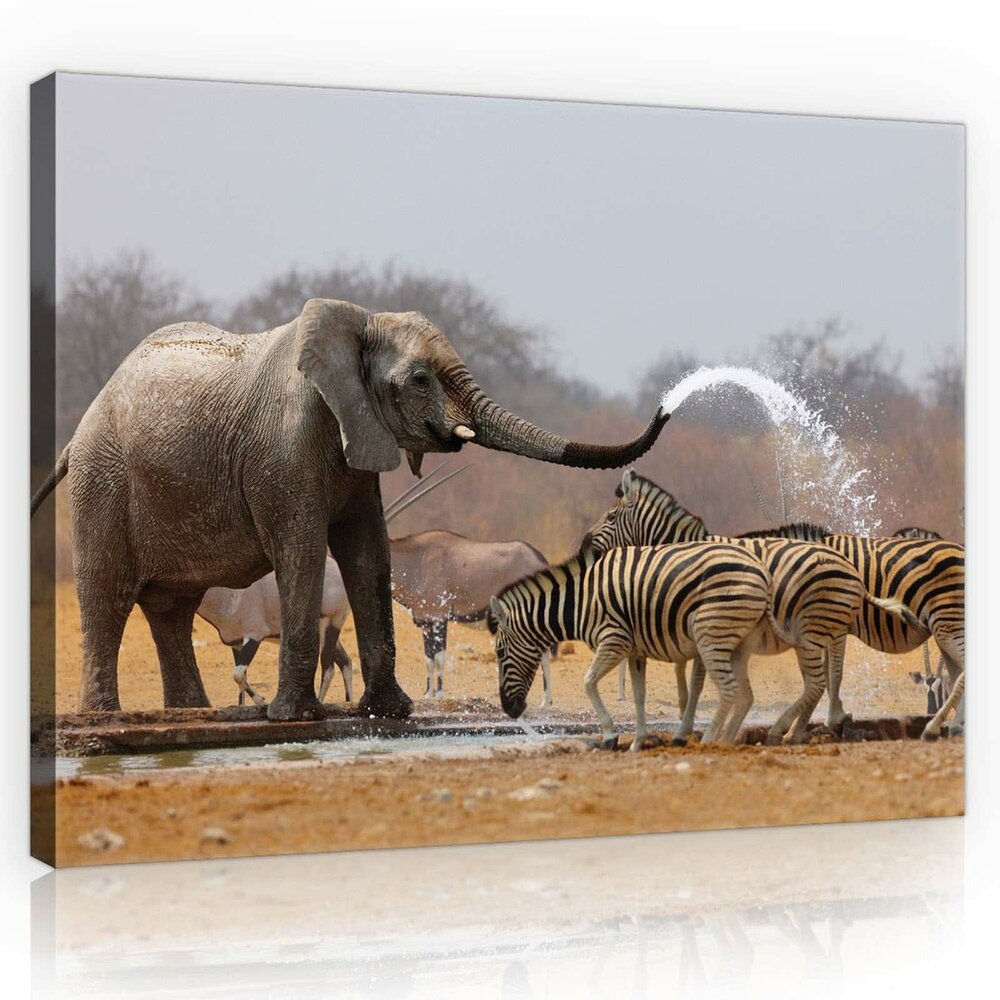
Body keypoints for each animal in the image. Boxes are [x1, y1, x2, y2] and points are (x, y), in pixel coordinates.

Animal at [31, 299, 669, 720]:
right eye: (420, 380)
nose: (666, 407)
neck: (360, 321)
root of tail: (79, 429)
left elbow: (367, 552)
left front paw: (388, 711)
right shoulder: (284, 450)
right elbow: (304, 551)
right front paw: (295, 718)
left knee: (171, 610)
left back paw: (191, 714)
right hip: (102, 482)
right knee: (108, 596)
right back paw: (105, 721)